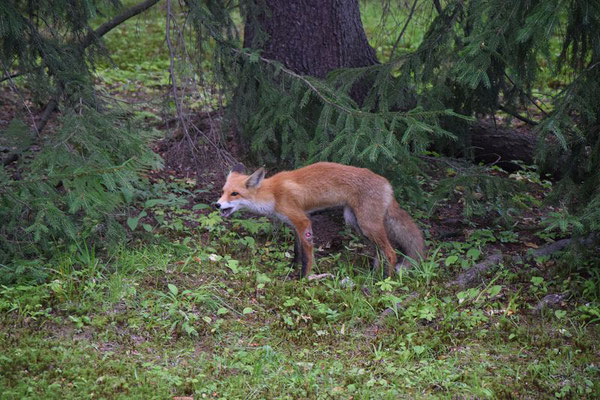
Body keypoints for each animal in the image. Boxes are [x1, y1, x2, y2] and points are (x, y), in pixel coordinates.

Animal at [216, 161, 426, 276]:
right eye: (223, 191)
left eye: (234, 194)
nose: (216, 205)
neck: (273, 194)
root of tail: (387, 184)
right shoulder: (296, 223)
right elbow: (297, 250)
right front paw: (292, 267)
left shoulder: (303, 221)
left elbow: (307, 257)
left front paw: (303, 278)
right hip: (355, 222)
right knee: (380, 252)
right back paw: (373, 275)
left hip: (367, 225)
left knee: (391, 252)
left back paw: (384, 281)